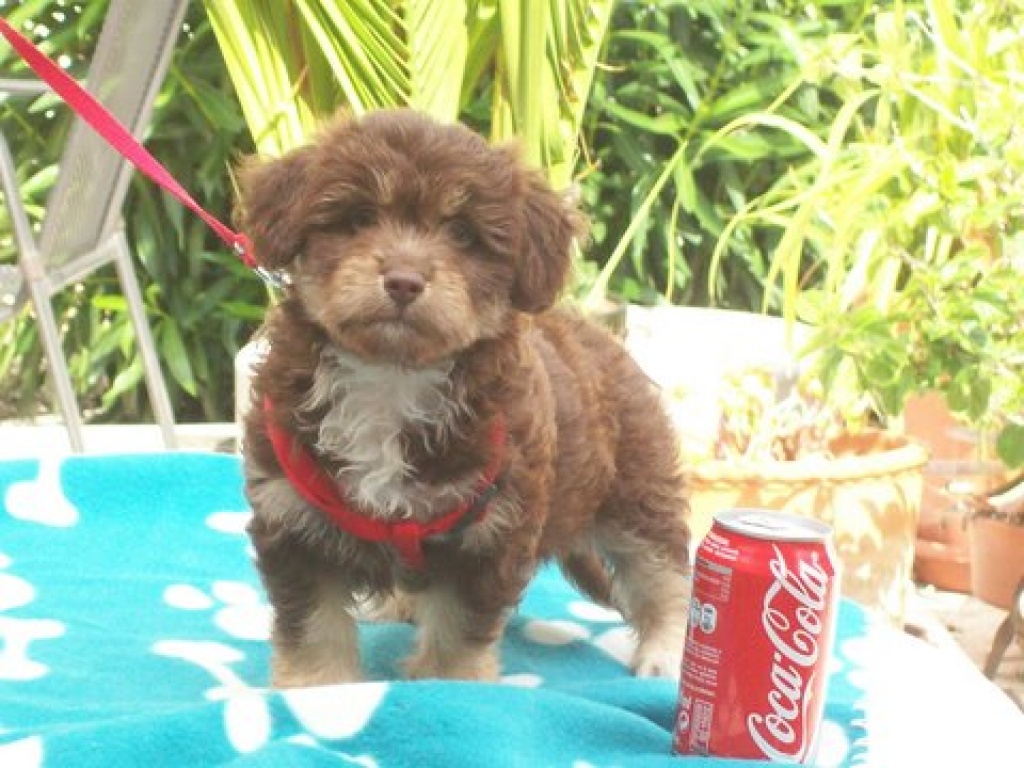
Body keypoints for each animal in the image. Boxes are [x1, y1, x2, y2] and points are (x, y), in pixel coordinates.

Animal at [238, 109, 691, 687]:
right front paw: (320, 688)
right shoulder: (292, 514)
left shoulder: (488, 528)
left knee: (661, 573)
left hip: (636, 492)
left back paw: (667, 653)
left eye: (461, 233)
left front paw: (448, 683)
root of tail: (601, 335)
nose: (404, 281)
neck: (390, 378)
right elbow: (313, 622)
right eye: (359, 217)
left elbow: (457, 626)